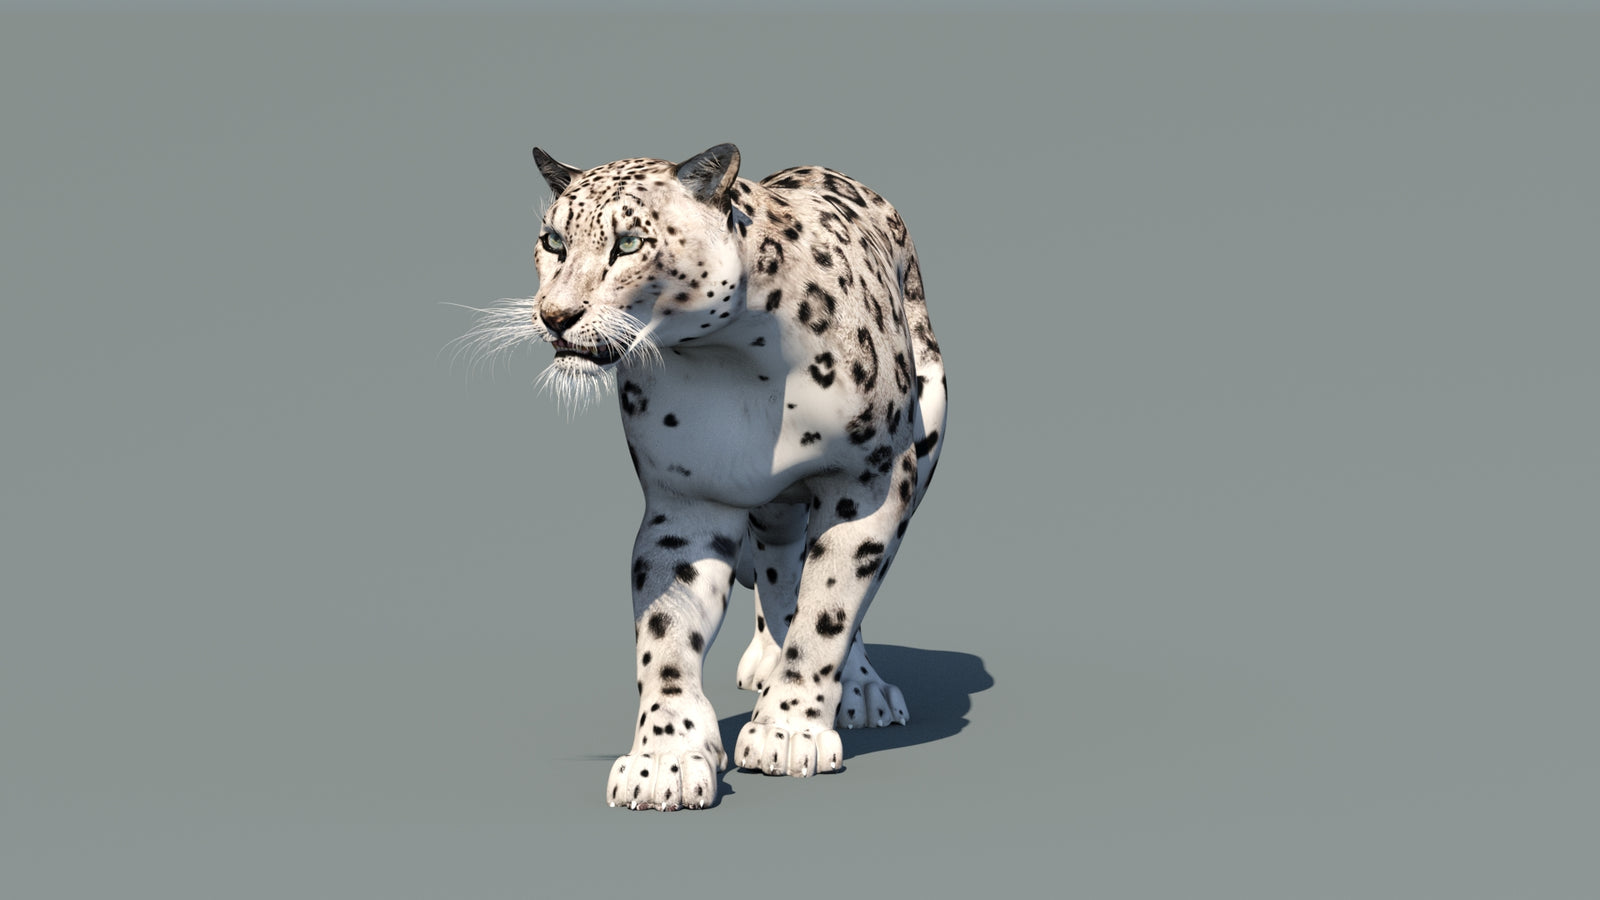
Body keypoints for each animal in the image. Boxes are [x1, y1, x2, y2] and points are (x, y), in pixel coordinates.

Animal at [460, 143, 946, 810]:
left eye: (630, 243)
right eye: (553, 240)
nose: (555, 316)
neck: (740, 362)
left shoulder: (866, 483)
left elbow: (829, 608)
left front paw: (789, 729)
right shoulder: (687, 501)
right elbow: (666, 634)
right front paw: (664, 759)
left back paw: (859, 688)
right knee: (780, 566)